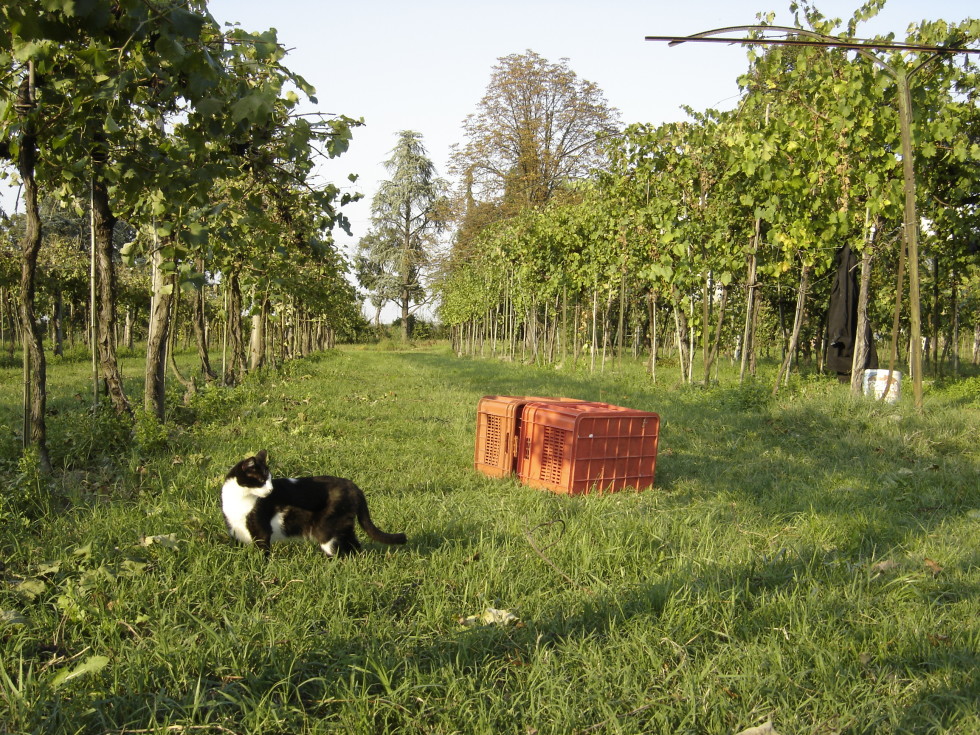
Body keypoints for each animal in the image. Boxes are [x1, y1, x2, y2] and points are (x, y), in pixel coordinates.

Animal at [221, 448, 406, 556]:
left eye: (270, 480)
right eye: (261, 481)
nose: (271, 490)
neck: (239, 499)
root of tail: (354, 487)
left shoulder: (262, 531)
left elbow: (262, 554)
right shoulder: (234, 529)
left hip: (326, 529)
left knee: (339, 552)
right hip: (344, 525)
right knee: (354, 545)